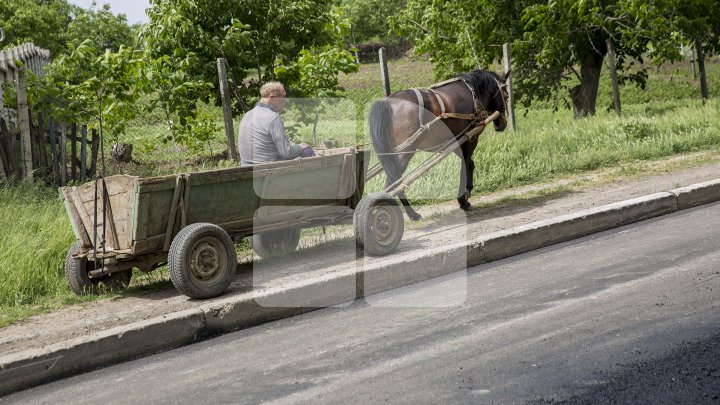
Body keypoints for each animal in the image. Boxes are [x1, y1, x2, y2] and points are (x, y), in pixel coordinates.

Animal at [368, 69, 510, 221]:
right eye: (506, 95)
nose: (502, 125)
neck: (473, 92)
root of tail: (387, 102)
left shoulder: (456, 139)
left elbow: (470, 164)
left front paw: (466, 193)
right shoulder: (470, 138)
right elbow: (465, 166)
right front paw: (463, 199)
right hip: (405, 151)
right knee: (394, 183)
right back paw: (409, 214)